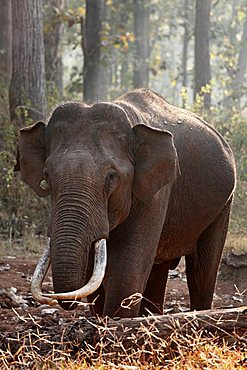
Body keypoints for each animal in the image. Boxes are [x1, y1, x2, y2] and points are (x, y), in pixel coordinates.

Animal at [14, 87, 235, 318]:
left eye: (112, 176)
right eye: (47, 176)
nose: (56, 298)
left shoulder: (156, 192)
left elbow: (125, 273)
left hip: (223, 205)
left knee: (203, 272)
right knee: (158, 271)